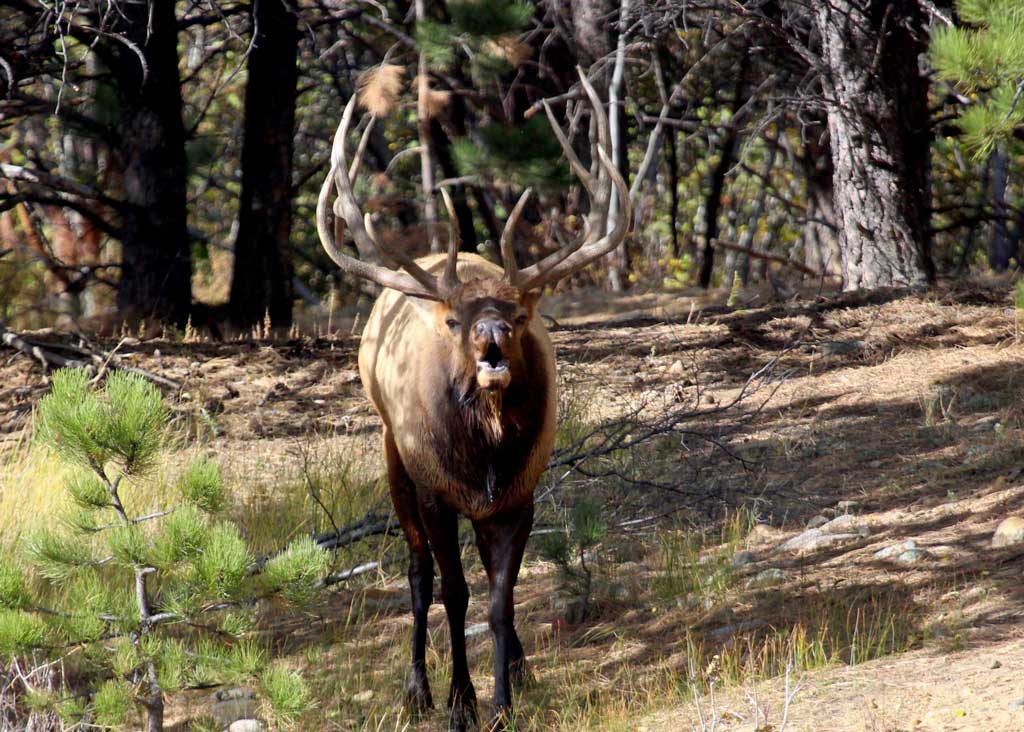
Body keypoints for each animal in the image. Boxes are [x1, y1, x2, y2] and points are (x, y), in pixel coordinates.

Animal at [315, 68, 630, 732]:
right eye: (456, 321)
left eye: (518, 314)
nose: (492, 343)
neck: (483, 458)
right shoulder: (436, 488)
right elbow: (454, 594)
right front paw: (461, 702)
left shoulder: (519, 495)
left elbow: (500, 601)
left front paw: (504, 703)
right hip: (393, 451)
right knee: (417, 573)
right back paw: (417, 690)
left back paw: (521, 669)